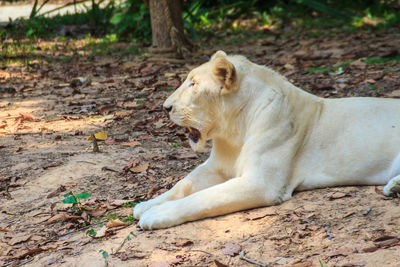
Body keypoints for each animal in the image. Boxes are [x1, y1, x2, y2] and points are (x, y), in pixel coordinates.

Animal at [134, 50, 400, 230]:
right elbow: (183, 185)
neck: (233, 131)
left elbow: (202, 198)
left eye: (193, 83)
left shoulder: (261, 183)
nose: (165, 107)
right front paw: (146, 204)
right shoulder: (215, 168)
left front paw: (155, 214)